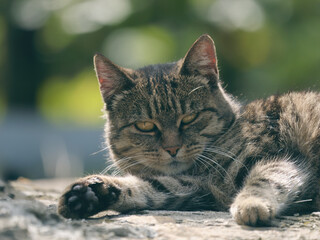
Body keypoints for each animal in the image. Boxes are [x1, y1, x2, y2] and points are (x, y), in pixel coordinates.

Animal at [57, 34, 320, 226]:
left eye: (190, 118)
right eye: (145, 125)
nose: (172, 148)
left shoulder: (279, 157)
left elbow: (263, 179)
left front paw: (250, 205)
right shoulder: (197, 189)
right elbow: (149, 186)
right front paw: (87, 194)